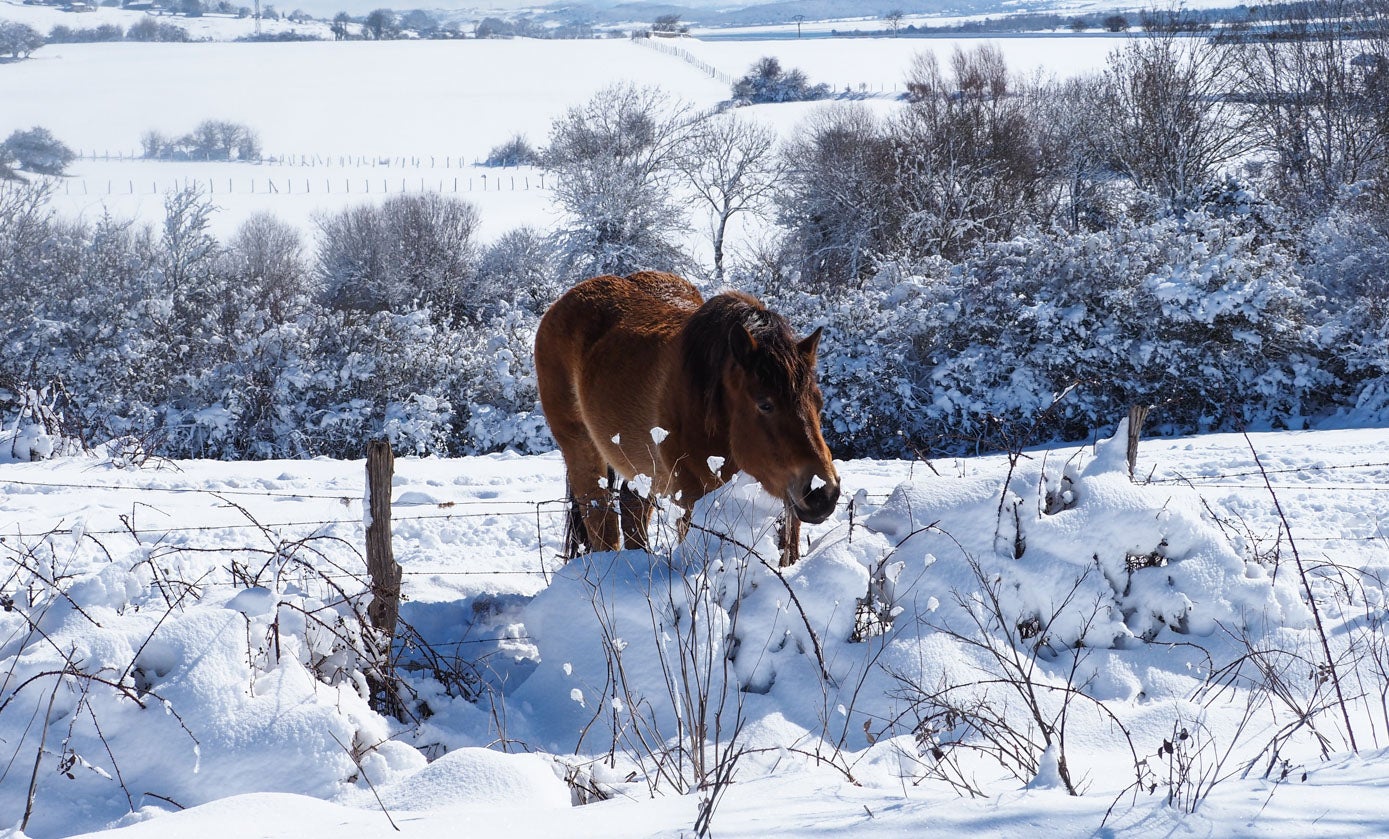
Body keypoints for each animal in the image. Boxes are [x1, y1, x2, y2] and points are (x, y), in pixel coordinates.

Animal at [534, 271, 841, 564]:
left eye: (819, 403)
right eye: (765, 404)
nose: (822, 493)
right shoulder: (692, 499)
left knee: (632, 505)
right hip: (581, 449)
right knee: (600, 517)